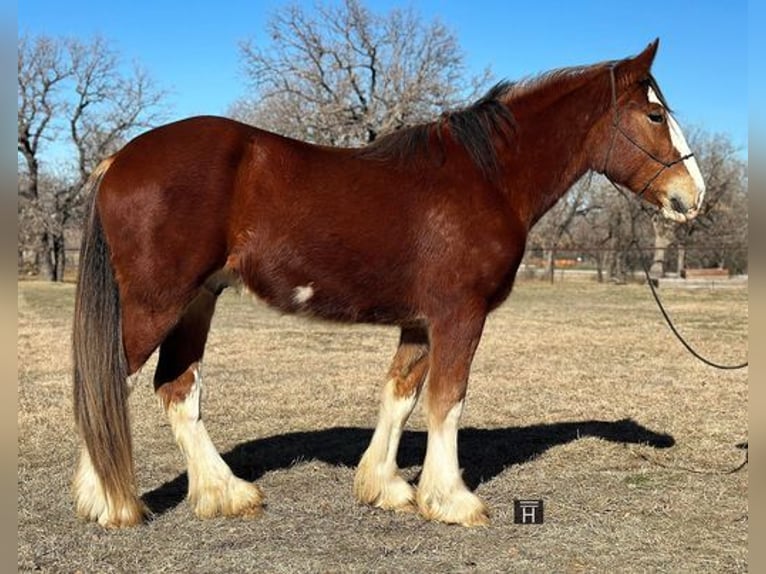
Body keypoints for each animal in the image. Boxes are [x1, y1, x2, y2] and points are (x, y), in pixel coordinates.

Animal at [73, 38, 708, 528]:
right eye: (655, 116)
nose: (694, 196)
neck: (486, 178)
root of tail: (120, 159)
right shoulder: (459, 315)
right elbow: (447, 400)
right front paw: (452, 500)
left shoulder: (420, 322)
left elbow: (400, 396)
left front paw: (387, 487)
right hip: (156, 305)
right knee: (108, 382)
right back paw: (109, 503)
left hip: (197, 302)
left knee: (176, 389)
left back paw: (224, 493)